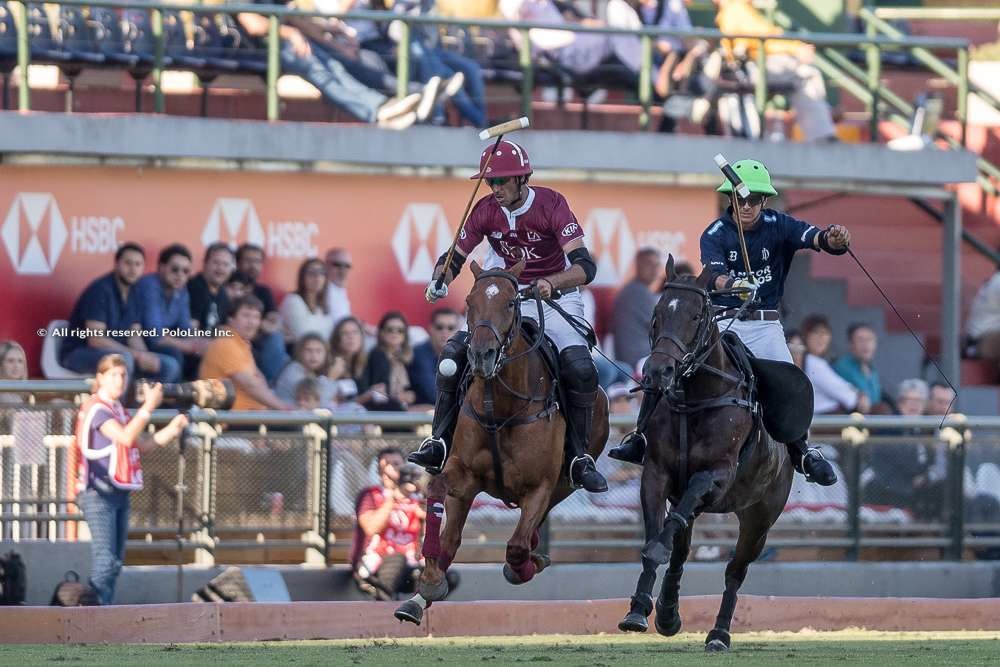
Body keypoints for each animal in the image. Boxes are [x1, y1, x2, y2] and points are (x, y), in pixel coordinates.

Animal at [398, 260, 608, 628]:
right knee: (453, 538)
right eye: (469, 301)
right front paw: (430, 582)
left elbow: (517, 547)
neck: (501, 408)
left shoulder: (540, 485)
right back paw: (417, 600)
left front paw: (524, 565)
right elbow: (438, 496)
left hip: (566, 482)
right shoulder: (464, 474)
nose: (481, 355)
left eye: (511, 302)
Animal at [616, 258, 796, 652]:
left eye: (697, 315)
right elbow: (657, 536)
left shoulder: (716, 475)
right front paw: (638, 609)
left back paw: (719, 634)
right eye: (656, 313)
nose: (658, 371)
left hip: (761, 517)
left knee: (735, 572)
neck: (697, 397)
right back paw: (668, 613)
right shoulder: (657, 473)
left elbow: (667, 537)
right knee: (682, 547)